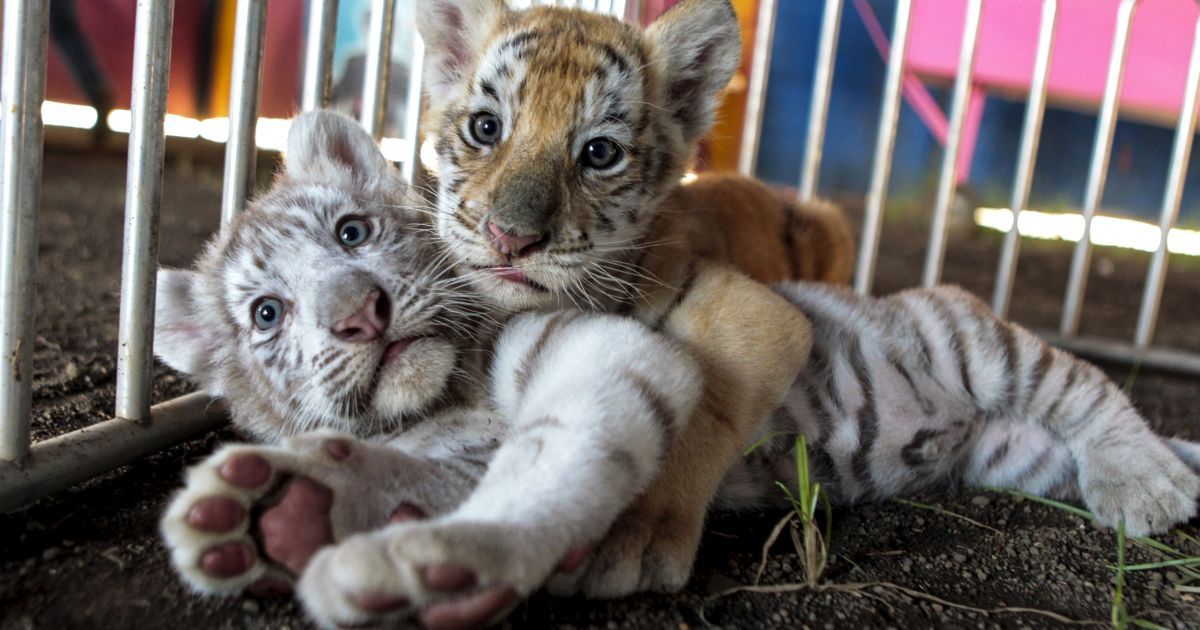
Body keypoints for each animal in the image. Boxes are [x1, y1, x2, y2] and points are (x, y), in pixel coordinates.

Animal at [155, 110, 1200, 630]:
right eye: (266, 314)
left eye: (352, 231)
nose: (358, 313)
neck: (444, 394)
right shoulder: (448, 448)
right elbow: (397, 469)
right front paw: (274, 512)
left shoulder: (605, 352)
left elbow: (544, 471)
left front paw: (437, 561)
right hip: (1019, 455)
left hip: (971, 341)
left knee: (1090, 391)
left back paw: (1143, 485)